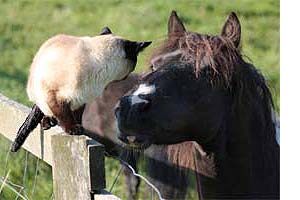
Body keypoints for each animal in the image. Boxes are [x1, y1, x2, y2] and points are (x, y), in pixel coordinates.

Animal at [10, 26, 151, 152]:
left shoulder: (81, 99)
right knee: (43, 110)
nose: (128, 75)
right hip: (40, 94)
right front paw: (73, 129)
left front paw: (81, 129)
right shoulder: (56, 96)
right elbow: (64, 115)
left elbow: (77, 115)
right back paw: (48, 123)